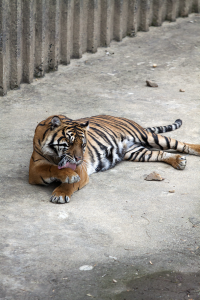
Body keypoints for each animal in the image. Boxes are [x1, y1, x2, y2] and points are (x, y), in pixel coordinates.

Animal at [29, 115, 200, 204]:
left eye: (83, 144)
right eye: (70, 143)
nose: (78, 158)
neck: (54, 154)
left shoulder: (81, 169)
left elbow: (70, 182)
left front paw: (61, 193)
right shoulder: (34, 169)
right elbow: (51, 168)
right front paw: (67, 175)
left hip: (149, 137)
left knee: (180, 144)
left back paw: (195, 150)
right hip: (136, 152)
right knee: (160, 154)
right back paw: (178, 161)